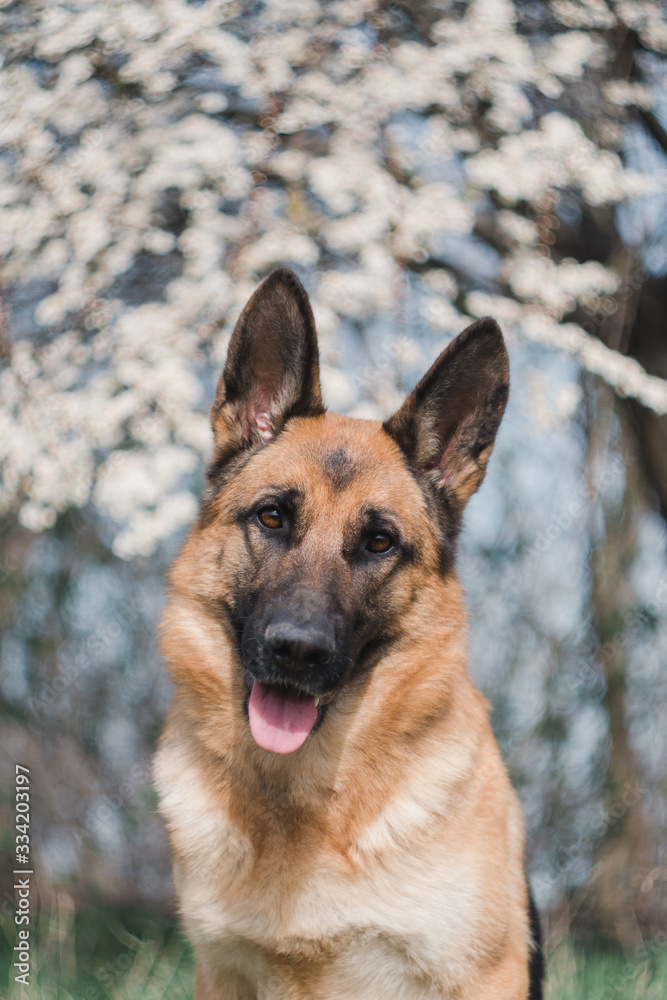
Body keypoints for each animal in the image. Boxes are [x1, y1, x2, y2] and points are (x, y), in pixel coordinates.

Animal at [154, 268, 544, 1000]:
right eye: (272, 517)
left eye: (379, 542)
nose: (297, 651)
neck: (300, 799)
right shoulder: (220, 973)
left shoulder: (485, 976)